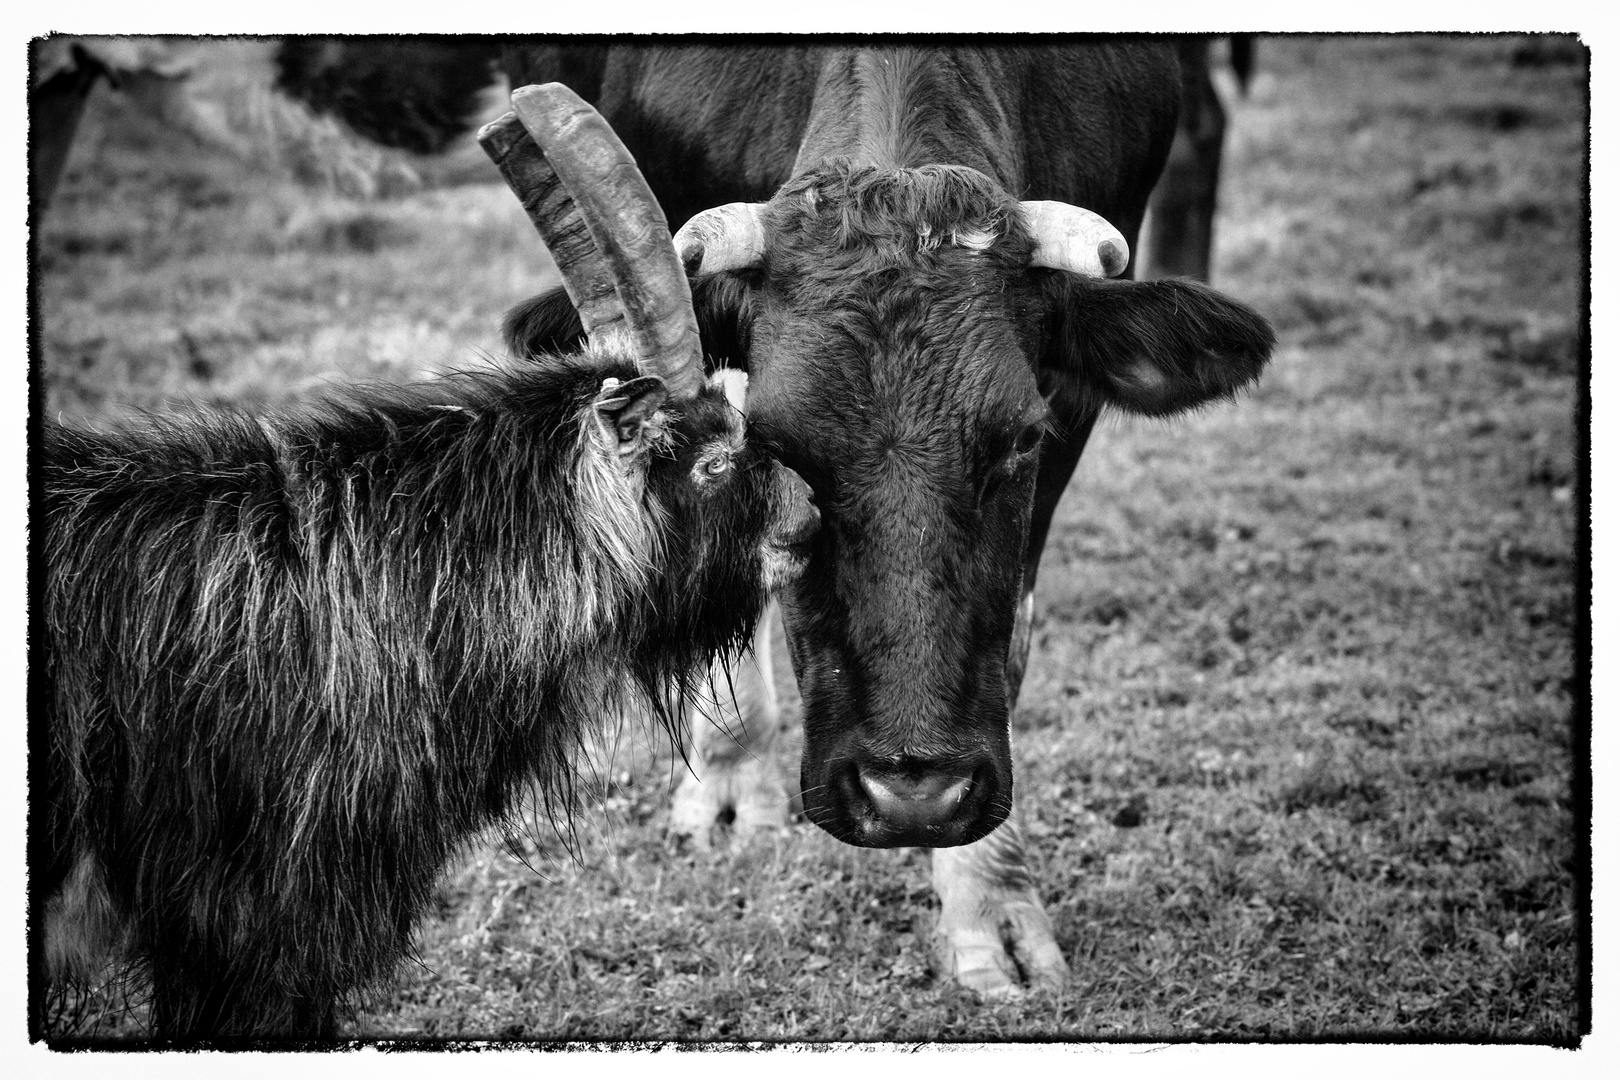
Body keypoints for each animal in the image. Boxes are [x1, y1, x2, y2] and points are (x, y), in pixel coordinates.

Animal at [495, 46, 1276, 1003]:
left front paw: (993, 906)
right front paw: (727, 778)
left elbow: (1009, 646)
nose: (911, 797)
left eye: (1023, 437)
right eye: (777, 444)